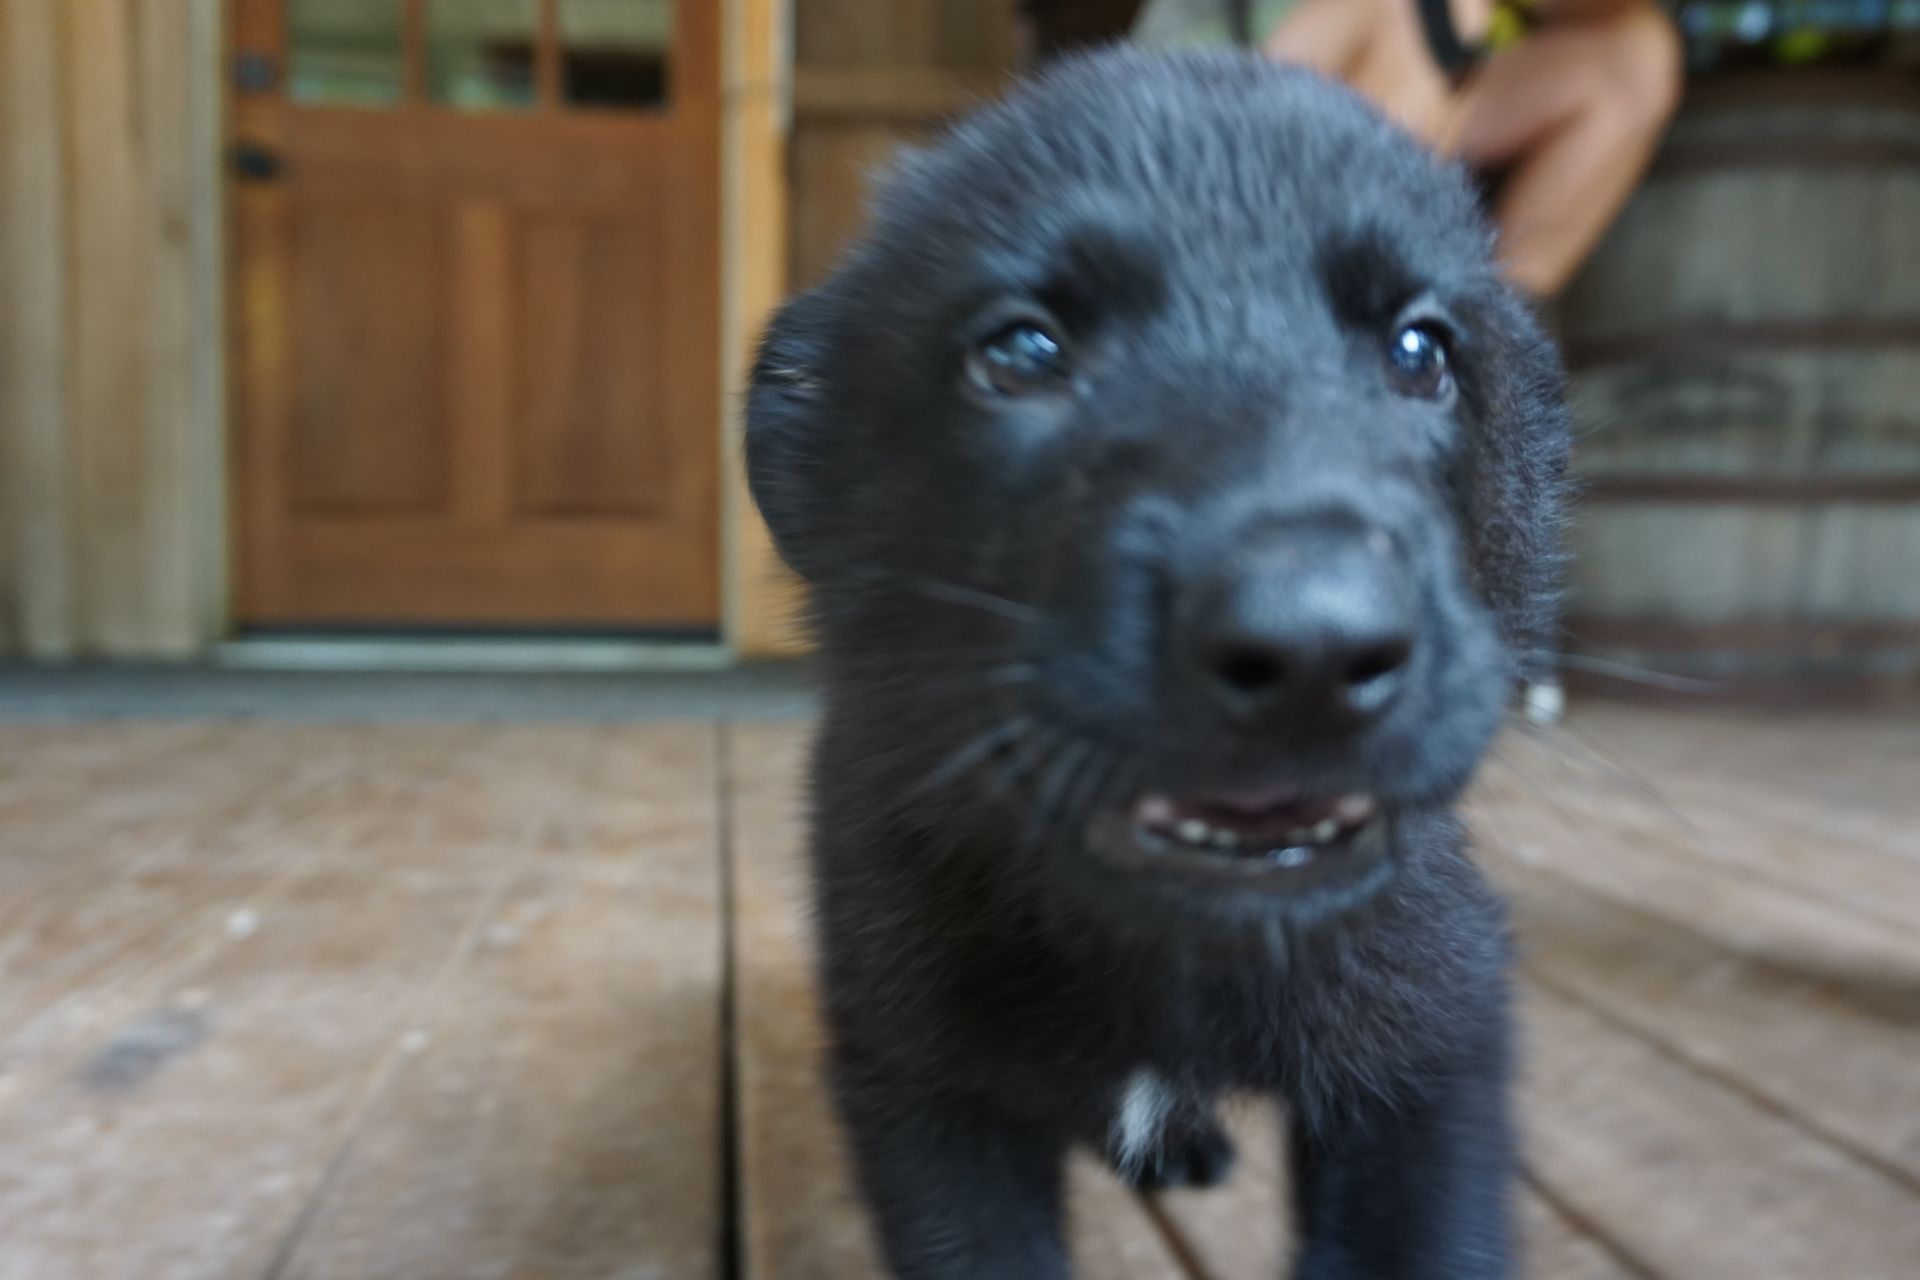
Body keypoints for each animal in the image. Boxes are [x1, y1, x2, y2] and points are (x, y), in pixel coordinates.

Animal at [741, 50, 1566, 1280]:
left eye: (1421, 351)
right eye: (1022, 350)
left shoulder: (1435, 1039)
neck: (1169, 956)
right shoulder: (922, 1083)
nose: (1312, 646)